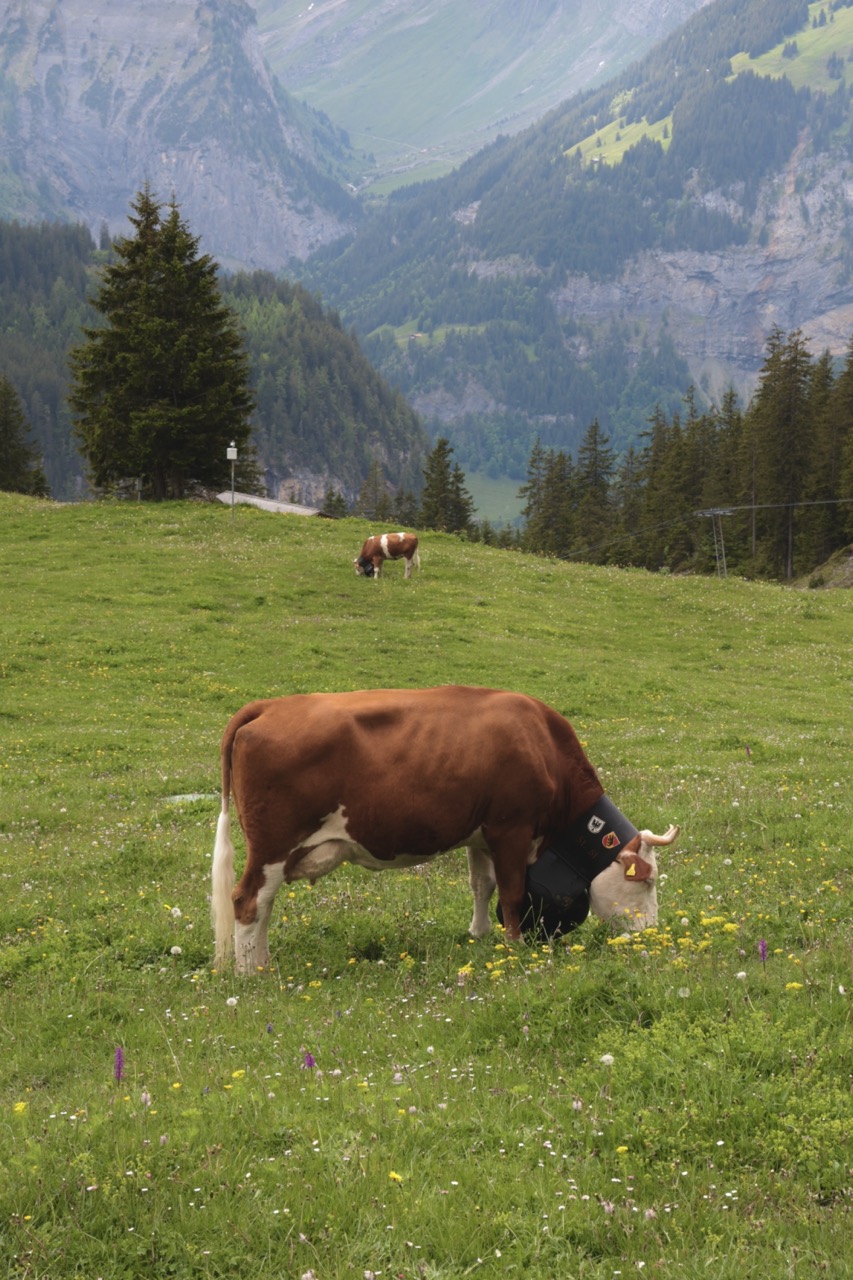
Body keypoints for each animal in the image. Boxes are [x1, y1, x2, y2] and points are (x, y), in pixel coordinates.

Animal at [211, 686, 679, 973]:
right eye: (647, 880)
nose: (651, 934)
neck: (541, 742)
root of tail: (269, 706)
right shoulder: (512, 829)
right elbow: (511, 893)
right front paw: (514, 947)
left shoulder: (482, 835)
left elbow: (482, 886)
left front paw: (480, 934)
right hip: (271, 846)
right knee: (248, 901)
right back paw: (251, 972)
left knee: (264, 904)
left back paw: (263, 962)